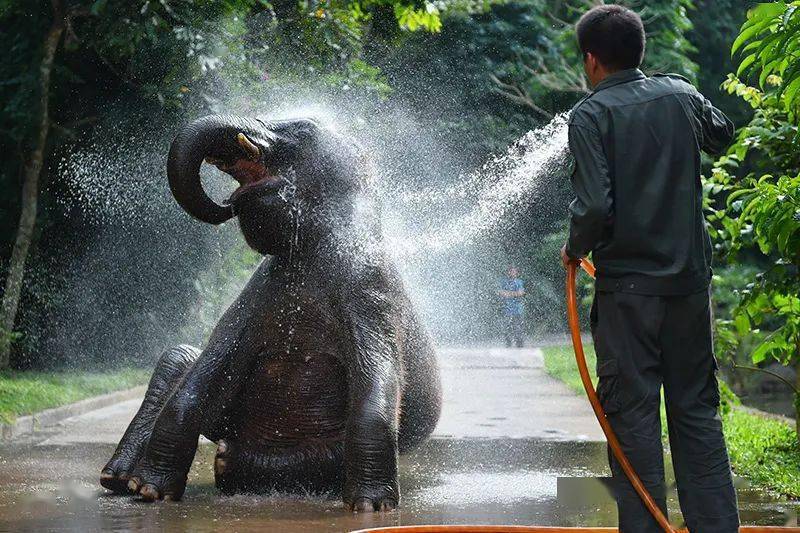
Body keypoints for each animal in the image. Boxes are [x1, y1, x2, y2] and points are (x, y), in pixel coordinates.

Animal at [100, 115, 444, 512]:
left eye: (303, 131)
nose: (224, 203)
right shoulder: (255, 295)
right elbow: (206, 370)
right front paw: (149, 491)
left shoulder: (372, 291)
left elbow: (378, 380)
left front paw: (371, 507)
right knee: (179, 356)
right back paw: (119, 477)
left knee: (326, 455)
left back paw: (227, 463)